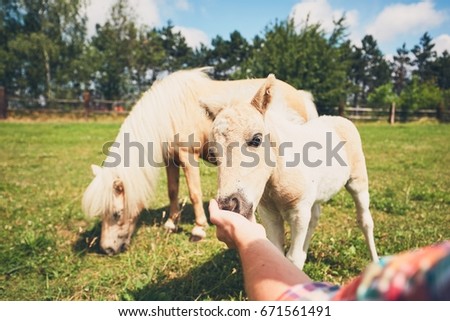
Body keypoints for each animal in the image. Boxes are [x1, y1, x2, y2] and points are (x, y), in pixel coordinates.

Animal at [81, 68, 320, 255]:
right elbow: (173, 191)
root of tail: (299, 94)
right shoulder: (170, 159)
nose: (107, 249)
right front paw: (171, 224)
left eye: (116, 214)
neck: (169, 111)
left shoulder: (188, 156)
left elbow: (194, 193)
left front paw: (198, 229)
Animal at [205, 74, 380, 268]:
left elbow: (293, 258)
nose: (229, 206)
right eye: (212, 155)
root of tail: (340, 119)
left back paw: (375, 261)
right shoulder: (269, 215)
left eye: (256, 139)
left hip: (358, 182)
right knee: (315, 218)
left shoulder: (299, 213)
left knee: (365, 221)